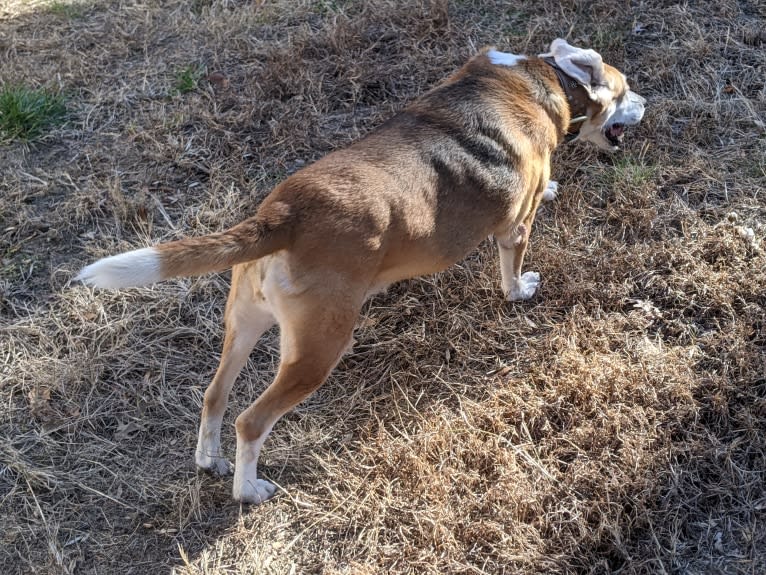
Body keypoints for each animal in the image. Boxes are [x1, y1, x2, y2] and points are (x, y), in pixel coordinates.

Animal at [75, 38, 648, 502]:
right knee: (250, 421)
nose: (646, 103)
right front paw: (521, 288)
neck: (546, 79)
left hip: (243, 323)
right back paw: (249, 489)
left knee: (215, 397)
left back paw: (207, 459)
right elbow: (512, 270)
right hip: (314, 354)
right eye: (624, 90)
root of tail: (283, 215)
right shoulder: (516, 228)